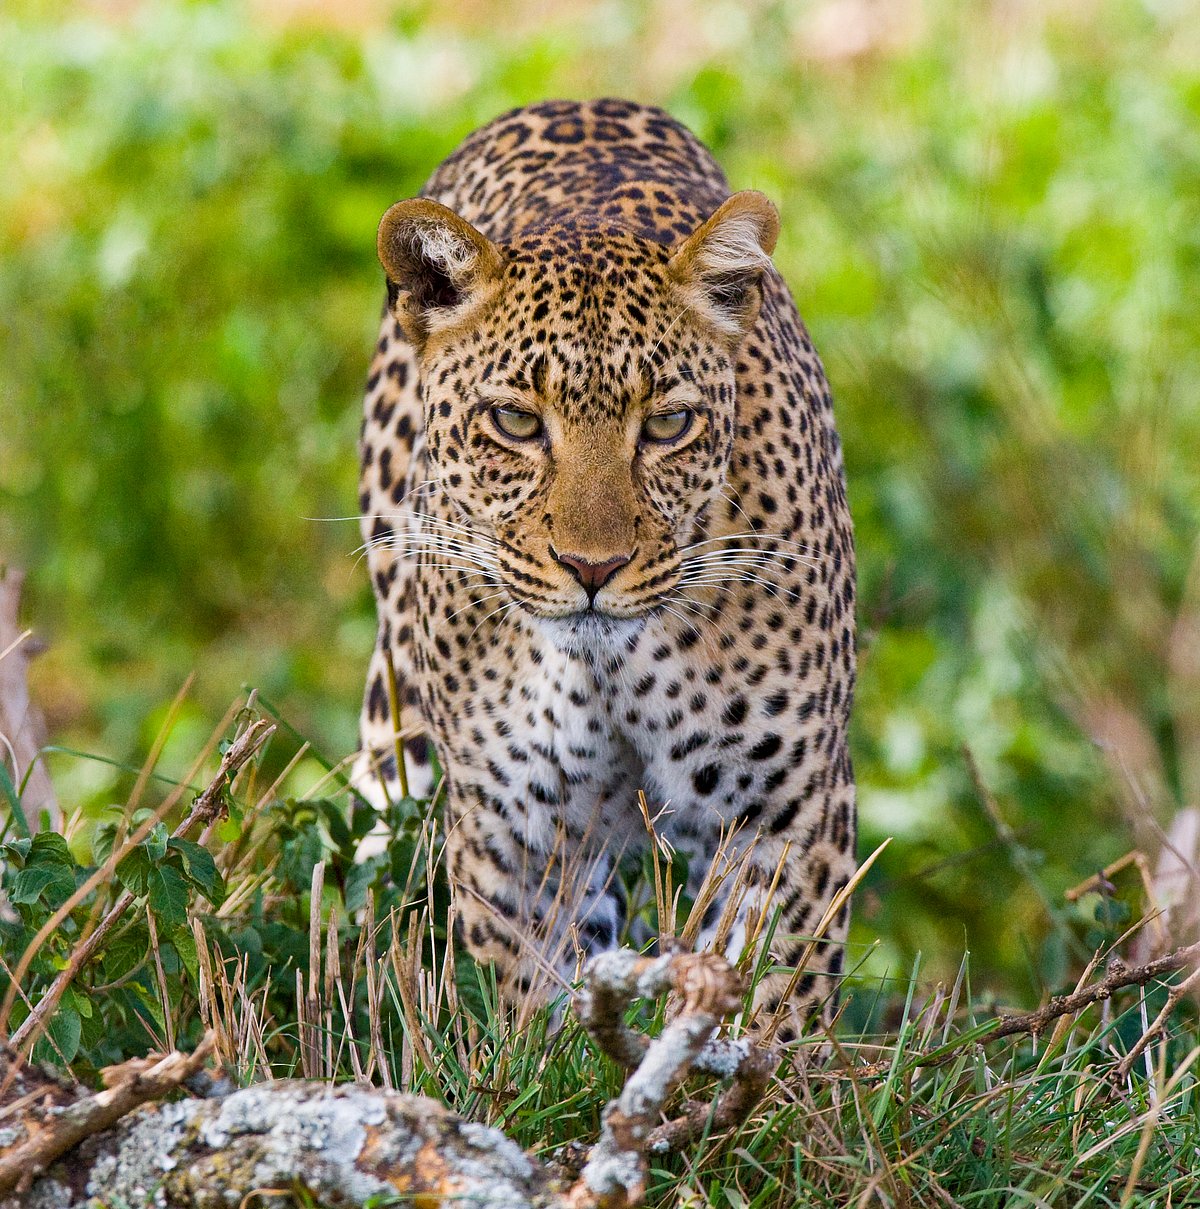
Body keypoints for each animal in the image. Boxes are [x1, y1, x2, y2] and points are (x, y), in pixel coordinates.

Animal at [353, 98, 856, 1032]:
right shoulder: (514, 832)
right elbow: (529, 1002)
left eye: (666, 425)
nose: (593, 567)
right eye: (515, 421)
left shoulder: (785, 814)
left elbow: (772, 1000)